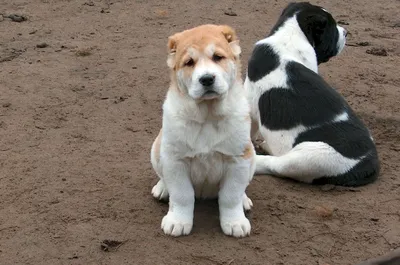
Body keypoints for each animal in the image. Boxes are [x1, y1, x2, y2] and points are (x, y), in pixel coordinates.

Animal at [150, 24, 256, 237]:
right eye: (189, 62)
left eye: (217, 57)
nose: (206, 79)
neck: (208, 116)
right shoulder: (175, 160)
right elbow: (182, 195)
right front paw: (178, 221)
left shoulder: (239, 159)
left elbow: (231, 195)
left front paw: (235, 222)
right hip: (157, 149)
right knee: (164, 177)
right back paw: (163, 188)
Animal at [245, 2, 380, 186]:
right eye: (332, 28)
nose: (346, 32)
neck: (289, 38)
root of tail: (369, 162)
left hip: (312, 156)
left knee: (277, 165)